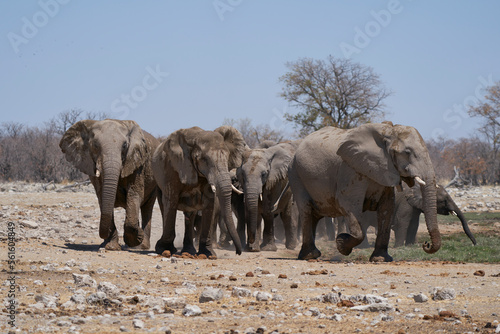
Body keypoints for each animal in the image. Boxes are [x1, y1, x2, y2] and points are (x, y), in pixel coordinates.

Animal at [59, 120, 159, 250]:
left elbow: (134, 194)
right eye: (95, 145)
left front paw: (135, 238)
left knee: (147, 207)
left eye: (125, 145)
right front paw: (111, 247)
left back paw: (140, 246)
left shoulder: (137, 163)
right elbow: (102, 197)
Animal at [152, 126, 246, 258]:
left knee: (190, 214)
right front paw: (164, 250)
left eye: (227, 158)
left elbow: (209, 204)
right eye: (204, 160)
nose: (238, 252)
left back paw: (189, 251)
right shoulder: (172, 168)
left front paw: (208, 254)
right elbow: (171, 202)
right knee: (164, 206)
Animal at [290, 121, 442, 262]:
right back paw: (310, 256)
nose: (426, 244)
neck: (387, 132)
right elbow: (348, 204)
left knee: (314, 215)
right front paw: (341, 244)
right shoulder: (350, 170)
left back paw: (311, 254)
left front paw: (380, 259)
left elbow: (387, 207)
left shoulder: (385, 172)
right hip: (296, 174)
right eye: (407, 152)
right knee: (306, 211)